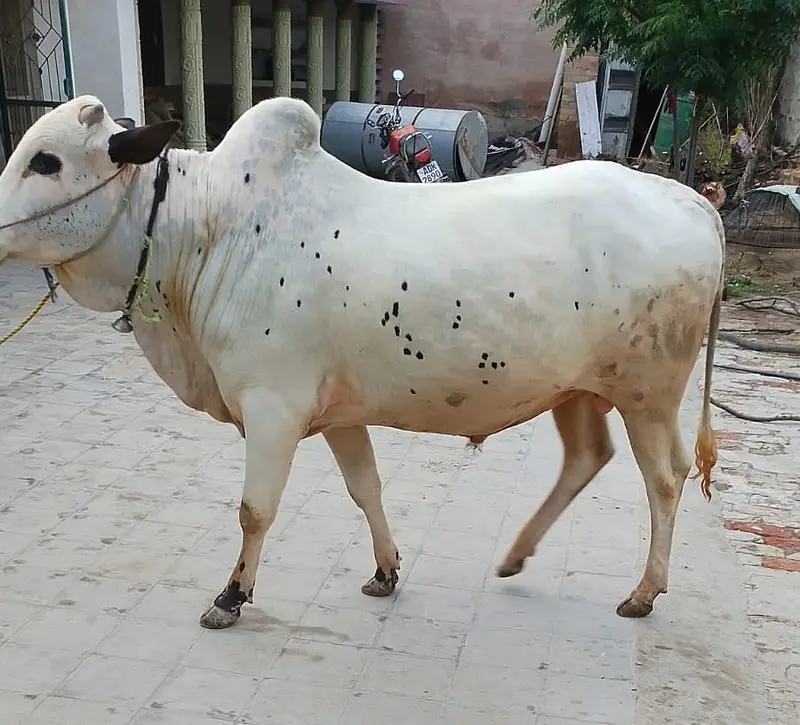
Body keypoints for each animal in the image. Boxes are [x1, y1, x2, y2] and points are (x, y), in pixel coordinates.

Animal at [0, 95, 722, 630]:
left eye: (46, 161)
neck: (207, 229)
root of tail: (695, 203)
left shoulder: (272, 408)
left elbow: (255, 509)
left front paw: (232, 596)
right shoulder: (337, 414)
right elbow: (365, 487)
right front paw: (385, 570)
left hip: (648, 394)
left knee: (665, 478)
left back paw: (644, 590)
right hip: (574, 390)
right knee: (586, 459)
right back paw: (517, 555)